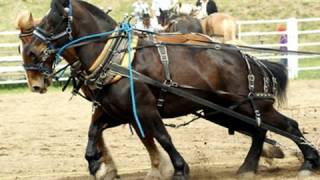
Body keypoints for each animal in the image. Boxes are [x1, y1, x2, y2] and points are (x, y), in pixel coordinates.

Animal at [23, 0, 320, 180]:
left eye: (53, 21)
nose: (30, 54)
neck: (117, 58)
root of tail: (246, 58)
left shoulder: (144, 108)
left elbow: (162, 137)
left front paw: (178, 168)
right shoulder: (117, 111)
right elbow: (93, 131)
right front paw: (96, 164)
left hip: (251, 105)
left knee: (286, 125)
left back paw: (306, 163)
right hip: (223, 110)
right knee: (260, 130)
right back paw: (249, 167)